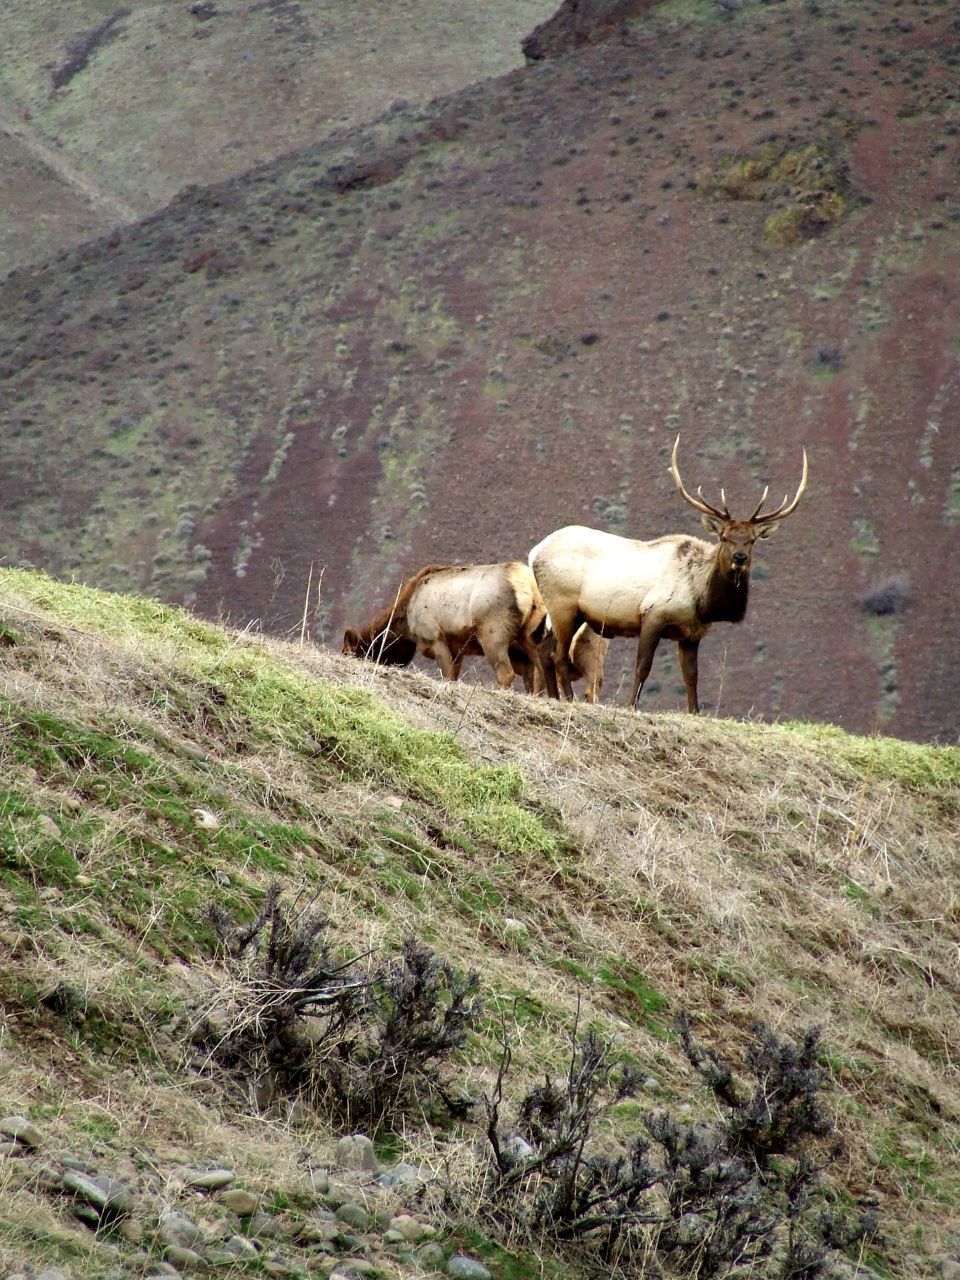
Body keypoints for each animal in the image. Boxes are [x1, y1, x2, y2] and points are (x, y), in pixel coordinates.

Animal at [342, 560, 550, 692]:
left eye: (348, 653)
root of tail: (527, 586)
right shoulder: (457, 648)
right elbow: (454, 677)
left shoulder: (435, 638)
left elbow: (448, 677)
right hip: (530, 636)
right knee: (541, 673)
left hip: (492, 634)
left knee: (506, 674)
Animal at [528, 435, 808, 712]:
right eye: (724, 537)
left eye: (751, 540)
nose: (740, 558)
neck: (702, 600)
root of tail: (535, 553)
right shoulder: (653, 615)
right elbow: (643, 667)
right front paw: (630, 705)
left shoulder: (693, 634)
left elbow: (691, 676)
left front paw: (694, 711)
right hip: (564, 606)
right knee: (558, 655)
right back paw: (568, 698)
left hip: (567, 613)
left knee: (544, 649)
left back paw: (554, 697)